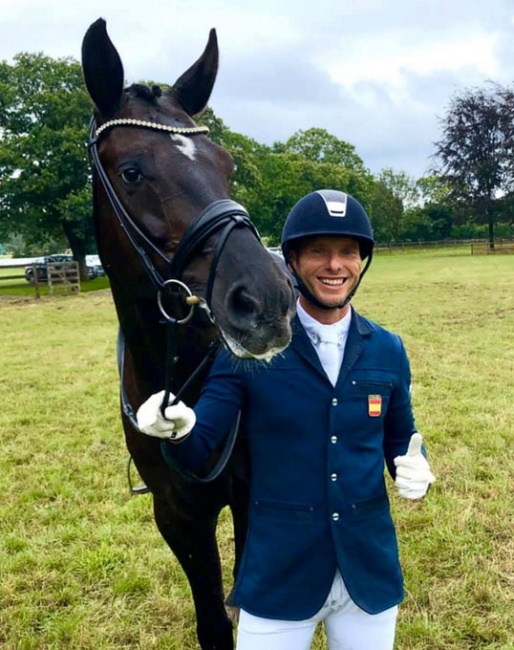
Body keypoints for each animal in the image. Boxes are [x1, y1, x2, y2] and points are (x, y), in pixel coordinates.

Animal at [82, 19, 294, 648]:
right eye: (132, 172)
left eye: (227, 166)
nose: (268, 299)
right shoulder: (176, 516)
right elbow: (214, 622)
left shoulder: (249, 494)